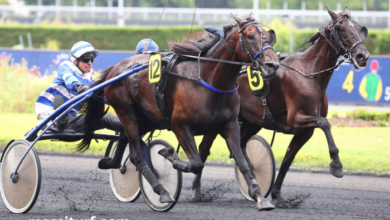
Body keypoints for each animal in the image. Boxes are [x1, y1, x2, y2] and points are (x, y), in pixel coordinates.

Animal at [78, 12, 280, 211]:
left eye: (268, 36)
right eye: (250, 36)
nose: (273, 65)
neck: (209, 81)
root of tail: (116, 68)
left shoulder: (229, 125)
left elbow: (243, 162)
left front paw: (260, 196)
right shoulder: (180, 125)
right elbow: (196, 163)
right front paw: (170, 155)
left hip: (147, 118)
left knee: (124, 139)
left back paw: (110, 163)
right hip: (126, 111)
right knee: (137, 155)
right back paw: (162, 191)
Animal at [197, 6, 370, 207]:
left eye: (358, 29)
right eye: (341, 28)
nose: (363, 56)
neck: (309, 73)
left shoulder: (305, 131)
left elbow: (288, 160)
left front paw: (277, 195)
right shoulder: (296, 120)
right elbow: (325, 123)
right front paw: (336, 165)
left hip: (252, 121)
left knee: (241, 144)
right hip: (218, 120)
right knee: (204, 148)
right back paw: (198, 192)